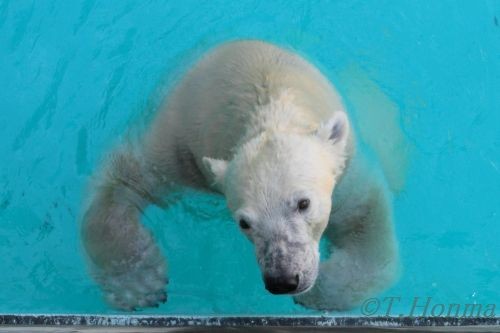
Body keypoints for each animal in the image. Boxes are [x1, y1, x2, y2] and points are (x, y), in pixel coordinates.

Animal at [81, 40, 398, 310]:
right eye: (244, 222)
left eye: (304, 203)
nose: (283, 280)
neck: (269, 101)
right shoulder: (178, 148)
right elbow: (125, 181)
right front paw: (138, 282)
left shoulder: (345, 173)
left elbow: (364, 216)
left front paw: (321, 292)